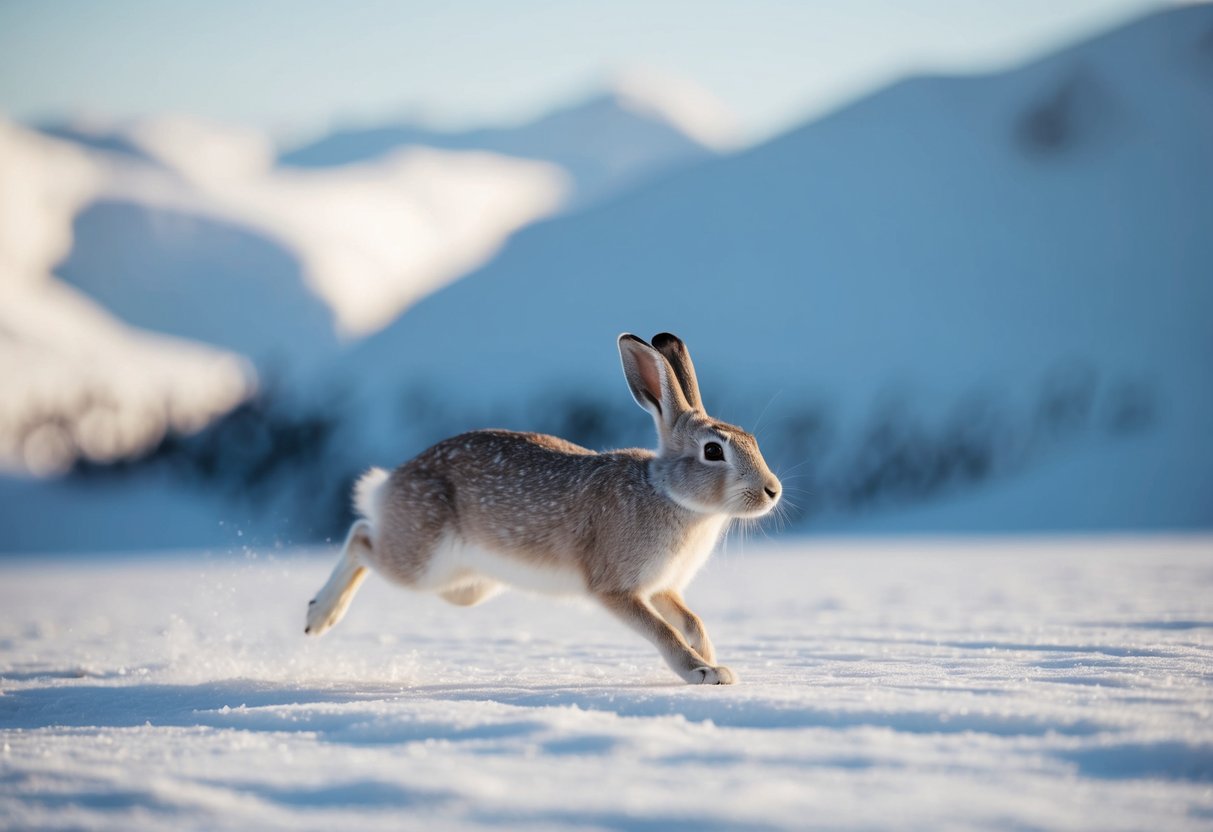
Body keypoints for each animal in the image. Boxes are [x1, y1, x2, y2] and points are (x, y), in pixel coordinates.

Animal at [305, 332, 781, 684]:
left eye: (753, 441)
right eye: (713, 452)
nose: (772, 491)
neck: (667, 492)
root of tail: (393, 481)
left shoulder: (663, 588)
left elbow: (692, 621)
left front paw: (714, 658)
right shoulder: (616, 588)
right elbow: (663, 632)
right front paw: (703, 673)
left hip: (466, 587)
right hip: (421, 561)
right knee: (361, 538)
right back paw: (319, 617)